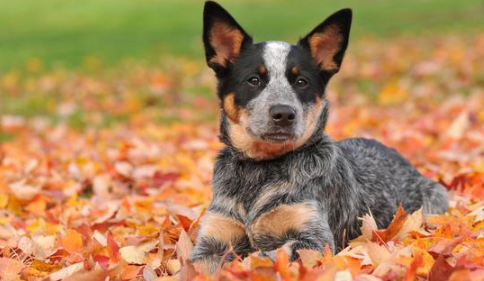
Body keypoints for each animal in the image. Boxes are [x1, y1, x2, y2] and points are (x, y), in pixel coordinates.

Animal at [190, 0, 450, 272]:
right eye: (253, 80)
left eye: (301, 82)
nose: (284, 113)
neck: (260, 169)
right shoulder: (211, 241)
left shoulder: (314, 240)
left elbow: (262, 256)